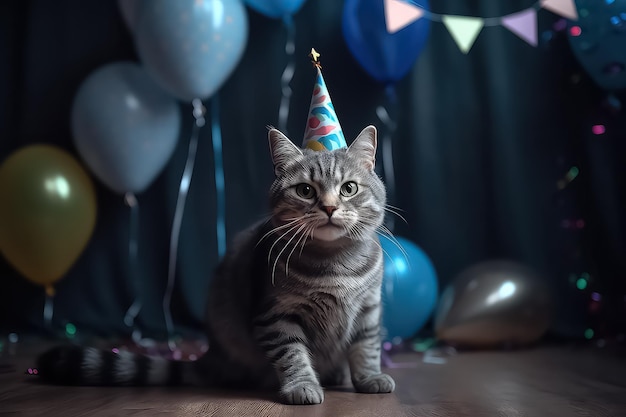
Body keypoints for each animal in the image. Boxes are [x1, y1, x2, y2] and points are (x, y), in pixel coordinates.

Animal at [35, 124, 394, 404]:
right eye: (305, 190)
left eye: (348, 188)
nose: (330, 207)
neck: (335, 264)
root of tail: (211, 355)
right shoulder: (275, 316)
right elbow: (292, 355)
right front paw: (302, 386)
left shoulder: (369, 310)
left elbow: (367, 347)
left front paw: (369, 378)